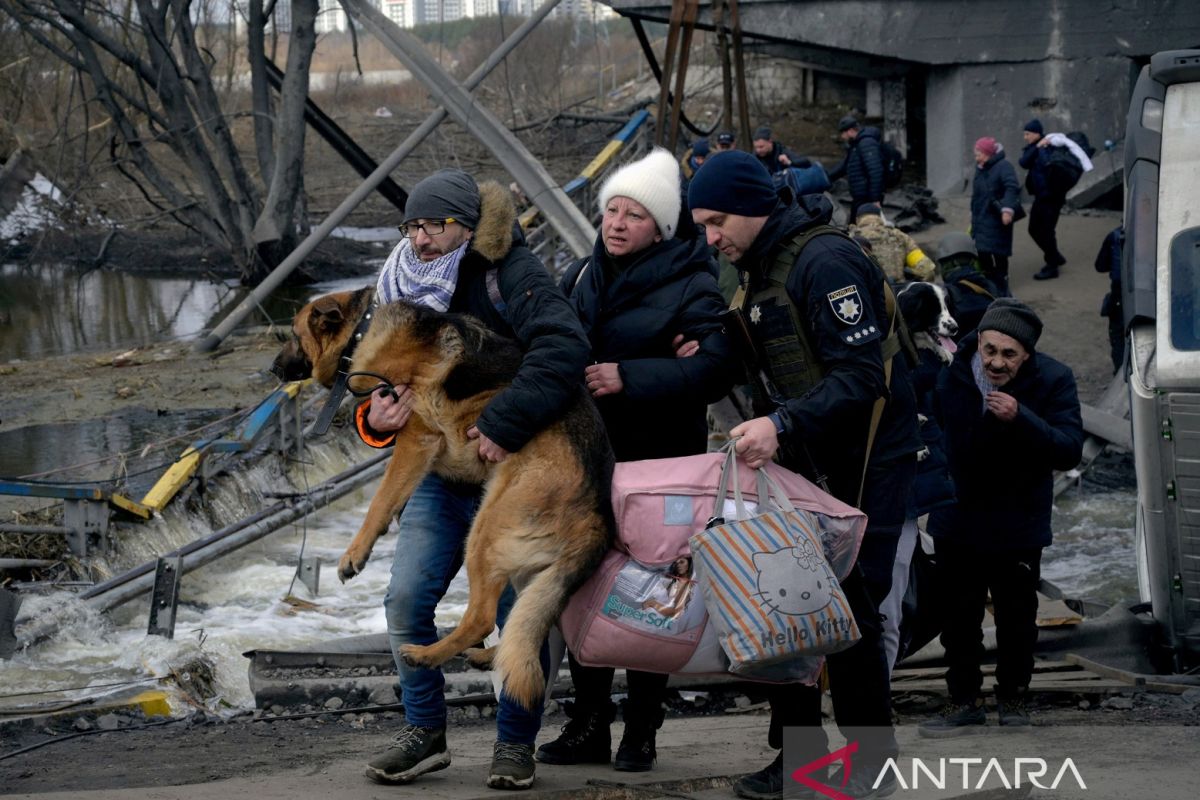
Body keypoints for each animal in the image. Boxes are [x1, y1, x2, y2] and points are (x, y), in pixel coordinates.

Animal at [271, 291, 609, 710]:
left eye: (293, 335)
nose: (272, 368)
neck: (364, 326)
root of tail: (598, 512)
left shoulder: (415, 438)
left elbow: (380, 499)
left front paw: (355, 553)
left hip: (484, 531)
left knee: (483, 618)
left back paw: (426, 654)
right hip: (525, 566)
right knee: (528, 627)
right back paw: (489, 655)